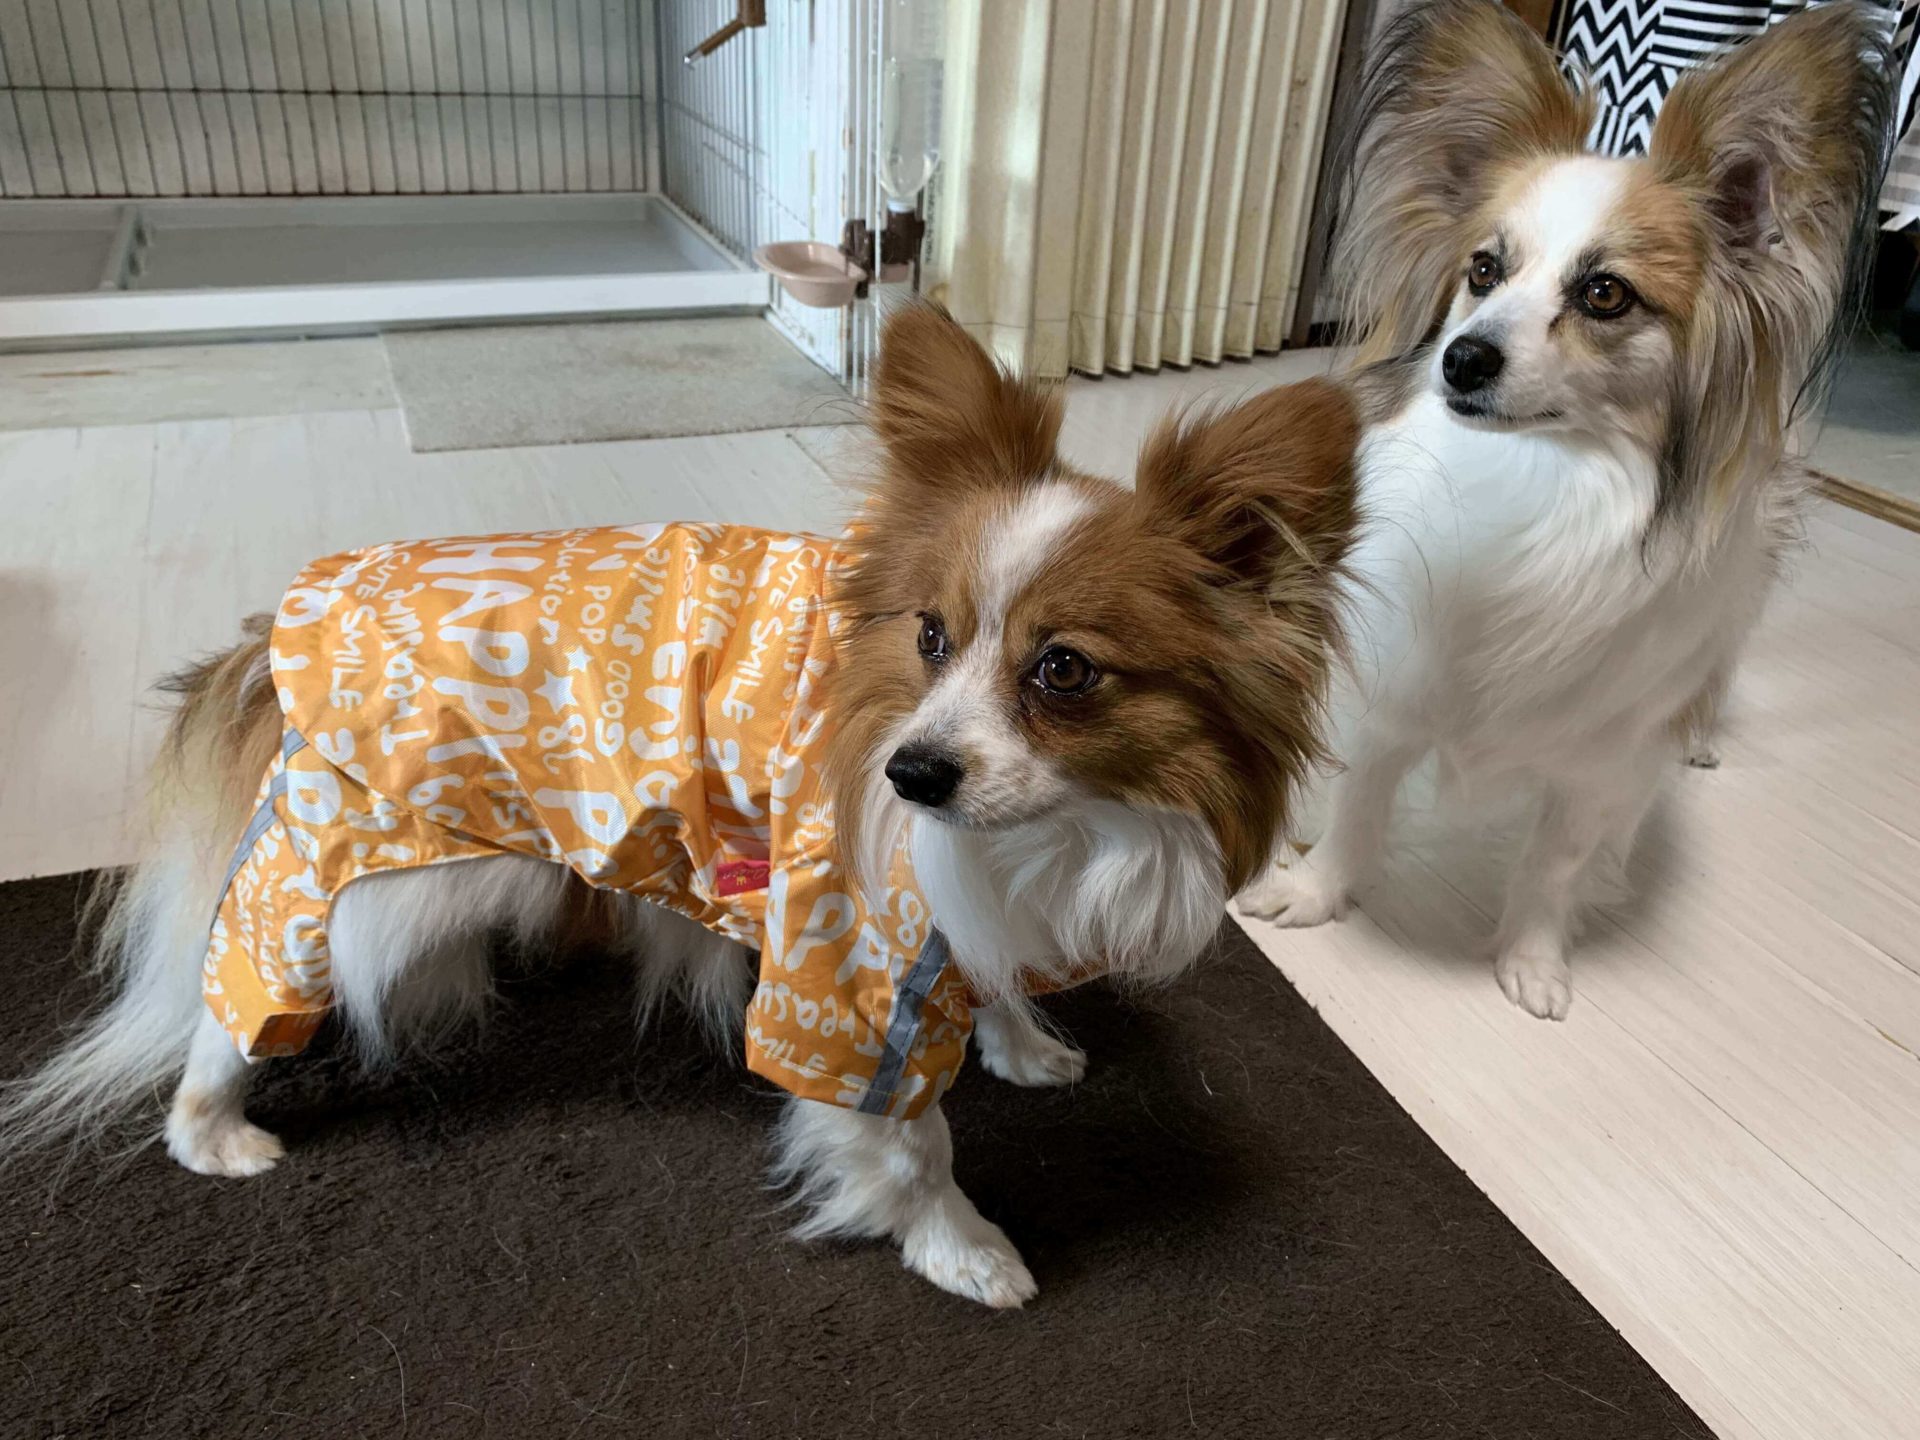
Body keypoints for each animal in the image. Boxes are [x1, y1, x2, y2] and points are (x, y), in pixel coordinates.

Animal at [3, 305, 1357, 1307]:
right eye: (929, 636)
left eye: (1063, 670)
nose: (911, 772)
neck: (1063, 831)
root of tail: (289, 620)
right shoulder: (839, 975)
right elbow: (908, 1140)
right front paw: (962, 1248)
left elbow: (997, 984)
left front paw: (1024, 1047)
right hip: (376, 867)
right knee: (235, 985)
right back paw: (211, 1130)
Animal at [1239, 1, 1893, 1019]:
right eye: (1481, 271)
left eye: (1604, 294)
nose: (1463, 357)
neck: (1536, 480)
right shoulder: (1395, 687)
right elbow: (1360, 805)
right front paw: (1315, 894)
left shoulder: (1599, 763)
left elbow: (1556, 862)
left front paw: (1533, 962)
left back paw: (1698, 740)